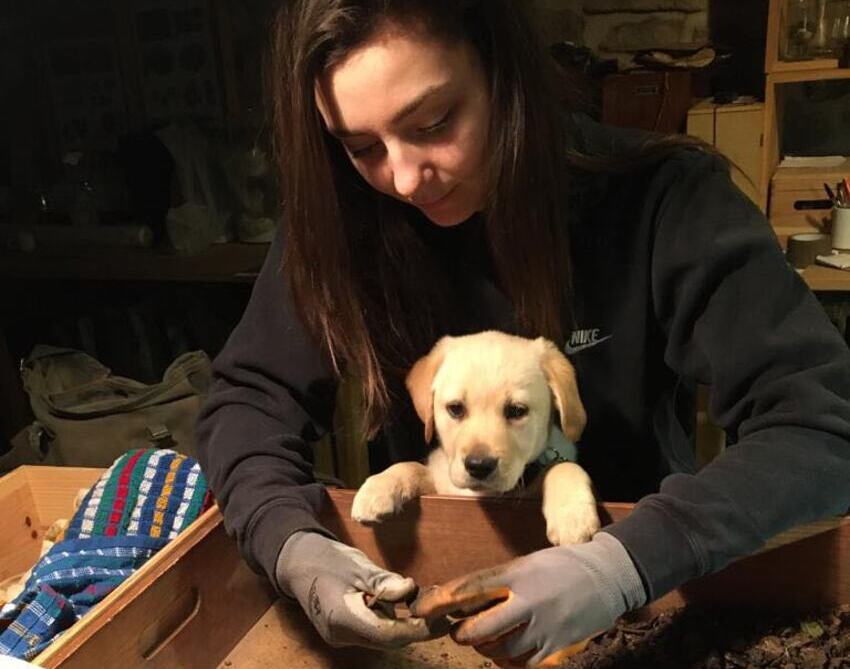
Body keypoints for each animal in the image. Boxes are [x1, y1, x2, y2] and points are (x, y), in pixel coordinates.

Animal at [348, 330, 600, 548]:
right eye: (455, 409)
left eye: (517, 410)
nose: (479, 466)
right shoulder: (443, 484)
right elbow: (413, 466)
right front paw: (378, 487)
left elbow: (562, 466)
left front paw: (572, 515)